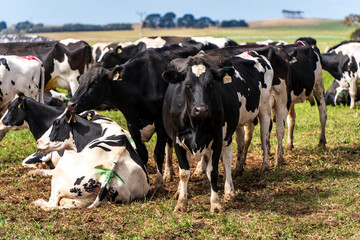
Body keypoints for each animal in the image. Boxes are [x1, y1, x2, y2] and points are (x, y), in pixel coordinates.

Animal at [66, 44, 198, 188]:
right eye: (80, 79)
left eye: (94, 82)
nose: (71, 104)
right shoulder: (132, 124)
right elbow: (142, 154)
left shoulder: (160, 124)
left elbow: (158, 153)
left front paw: (159, 182)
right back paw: (169, 172)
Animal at [162, 51, 272, 212]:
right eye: (187, 85)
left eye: (211, 84)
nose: (201, 109)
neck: (196, 124)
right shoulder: (178, 140)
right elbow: (184, 172)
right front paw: (181, 202)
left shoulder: (217, 138)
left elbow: (212, 171)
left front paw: (215, 203)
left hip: (262, 110)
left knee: (260, 141)